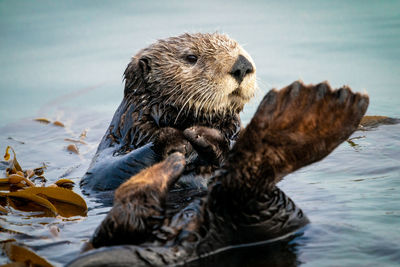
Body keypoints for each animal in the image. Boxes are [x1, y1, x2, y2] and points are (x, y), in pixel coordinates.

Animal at [72, 33, 368, 266]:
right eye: (191, 57)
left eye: (238, 47)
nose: (242, 65)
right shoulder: (121, 137)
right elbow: (102, 173)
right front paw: (177, 142)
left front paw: (205, 137)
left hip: (283, 215)